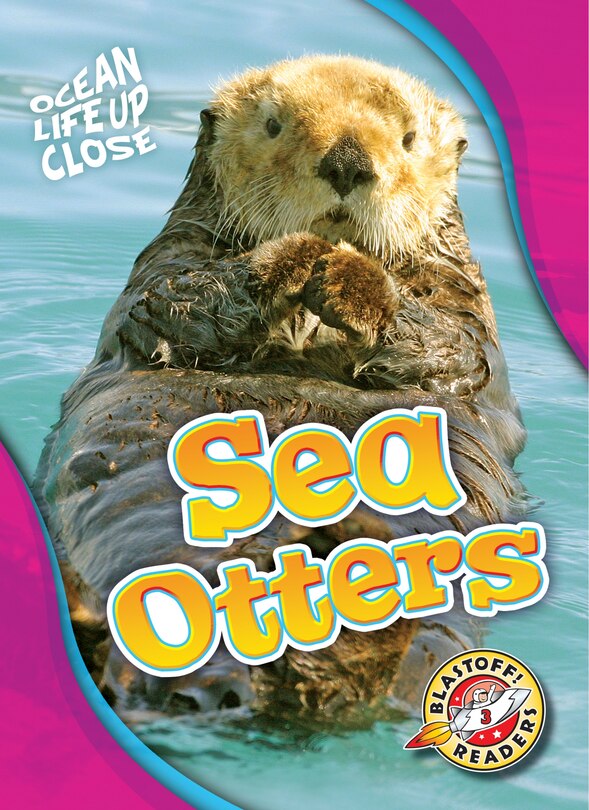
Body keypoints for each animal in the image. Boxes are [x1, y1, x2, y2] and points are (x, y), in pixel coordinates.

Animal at [34, 55, 527, 727]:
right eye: (273, 125)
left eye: (407, 139)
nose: (347, 161)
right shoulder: (169, 267)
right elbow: (177, 303)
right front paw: (296, 258)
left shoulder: (464, 308)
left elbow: (447, 343)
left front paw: (347, 278)